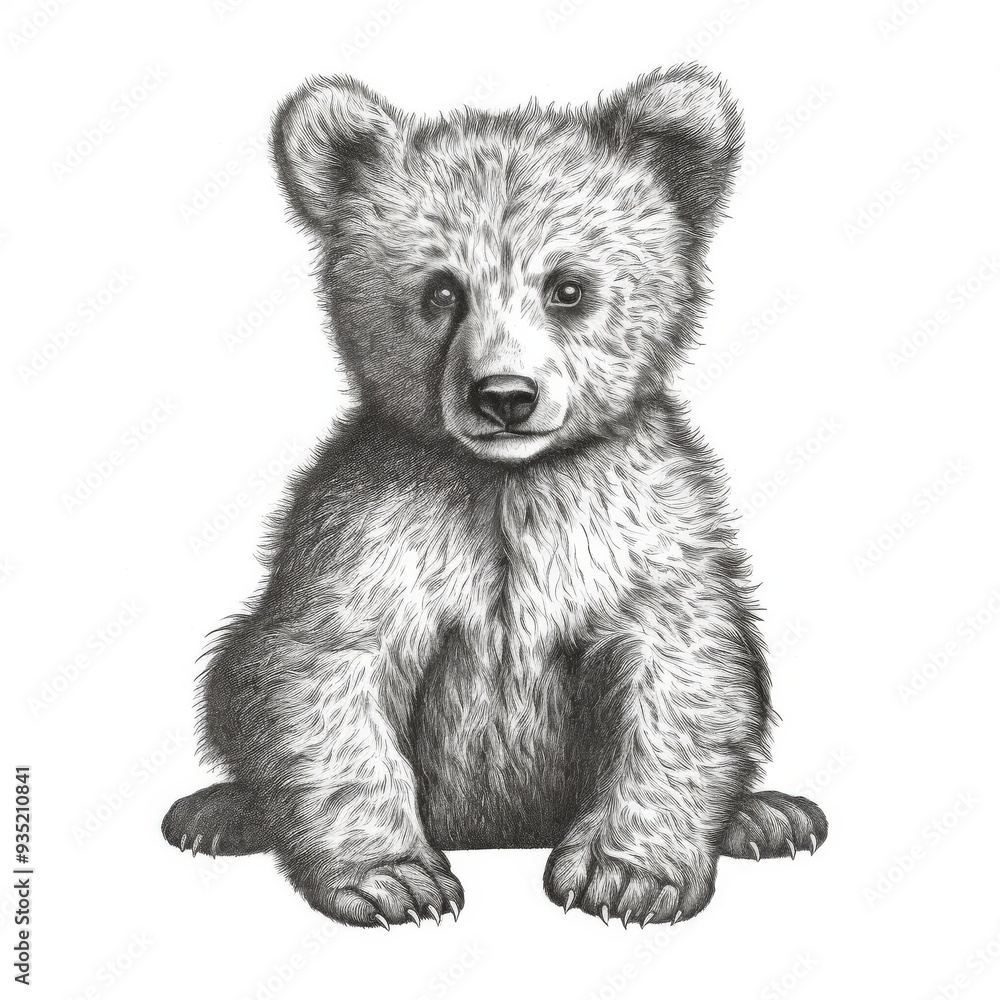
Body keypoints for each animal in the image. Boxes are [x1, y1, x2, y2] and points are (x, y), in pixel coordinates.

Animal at [163, 64, 827, 929]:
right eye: (443, 291)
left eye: (567, 287)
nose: (504, 395)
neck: (510, 482)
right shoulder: (371, 537)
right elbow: (321, 676)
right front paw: (392, 879)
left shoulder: (643, 534)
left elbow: (684, 676)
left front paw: (627, 876)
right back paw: (219, 812)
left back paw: (769, 815)